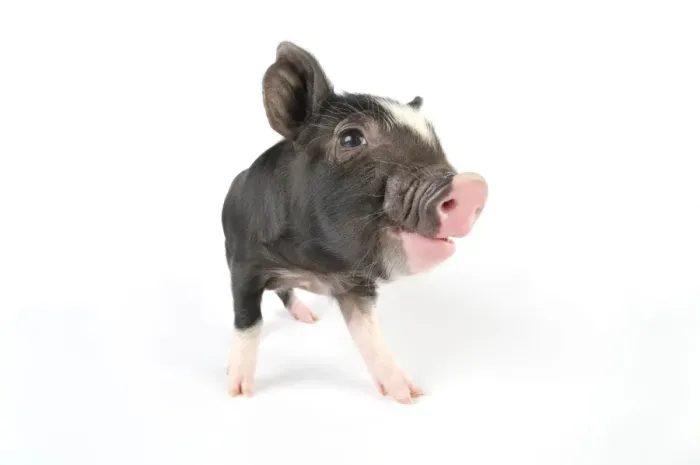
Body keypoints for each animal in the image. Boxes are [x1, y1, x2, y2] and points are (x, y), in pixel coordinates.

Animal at [221, 41, 488, 404]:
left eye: (435, 139)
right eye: (350, 139)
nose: (474, 184)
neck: (314, 264)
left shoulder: (357, 283)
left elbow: (368, 332)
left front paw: (410, 395)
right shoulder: (243, 265)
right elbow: (248, 321)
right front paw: (237, 391)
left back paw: (310, 319)